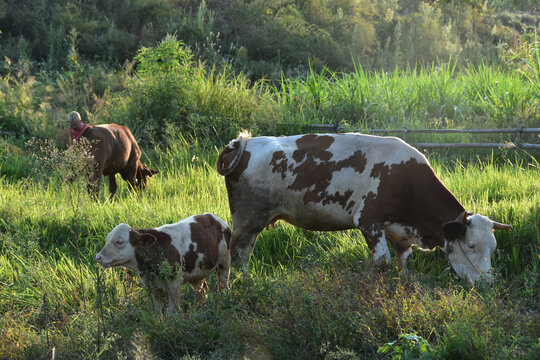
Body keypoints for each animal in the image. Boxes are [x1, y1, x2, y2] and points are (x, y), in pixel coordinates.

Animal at [96, 214, 231, 312]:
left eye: (119, 242)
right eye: (107, 240)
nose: (98, 257)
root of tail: (214, 217)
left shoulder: (174, 282)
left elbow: (172, 310)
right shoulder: (152, 285)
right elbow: (158, 310)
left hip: (224, 262)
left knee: (224, 284)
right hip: (196, 272)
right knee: (202, 291)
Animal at [218, 132, 510, 284]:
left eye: (494, 248)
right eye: (471, 245)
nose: (489, 282)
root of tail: (243, 143)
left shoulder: (398, 231)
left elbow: (405, 262)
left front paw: (407, 287)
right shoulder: (370, 222)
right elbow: (382, 264)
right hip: (248, 220)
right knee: (237, 255)